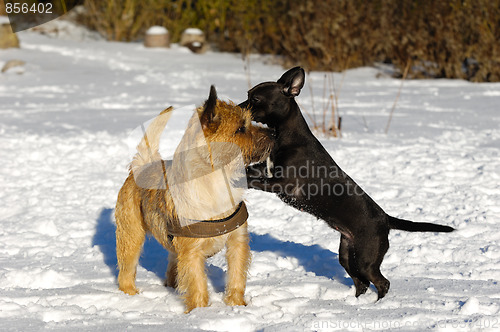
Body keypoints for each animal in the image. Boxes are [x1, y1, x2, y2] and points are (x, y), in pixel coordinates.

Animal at [114, 87, 272, 312]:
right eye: (241, 128)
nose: (274, 134)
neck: (218, 181)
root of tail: (142, 166)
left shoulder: (237, 241)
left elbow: (236, 277)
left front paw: (236, 306)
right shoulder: (192, 253)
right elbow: (197, 285)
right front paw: (200, 312)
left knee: (173, 266)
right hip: (131, 235)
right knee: (127, 270)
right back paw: (131, 295)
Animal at [240, 67, 456, 298]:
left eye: (255, 99)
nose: (237, 109)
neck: (287, 135)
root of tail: (386, 220)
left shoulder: (281, 184)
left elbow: (253, 181)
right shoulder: (266, 169)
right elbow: (250, 170)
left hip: (365, 259)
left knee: (382, 283)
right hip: (347, 253)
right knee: (361, 282)